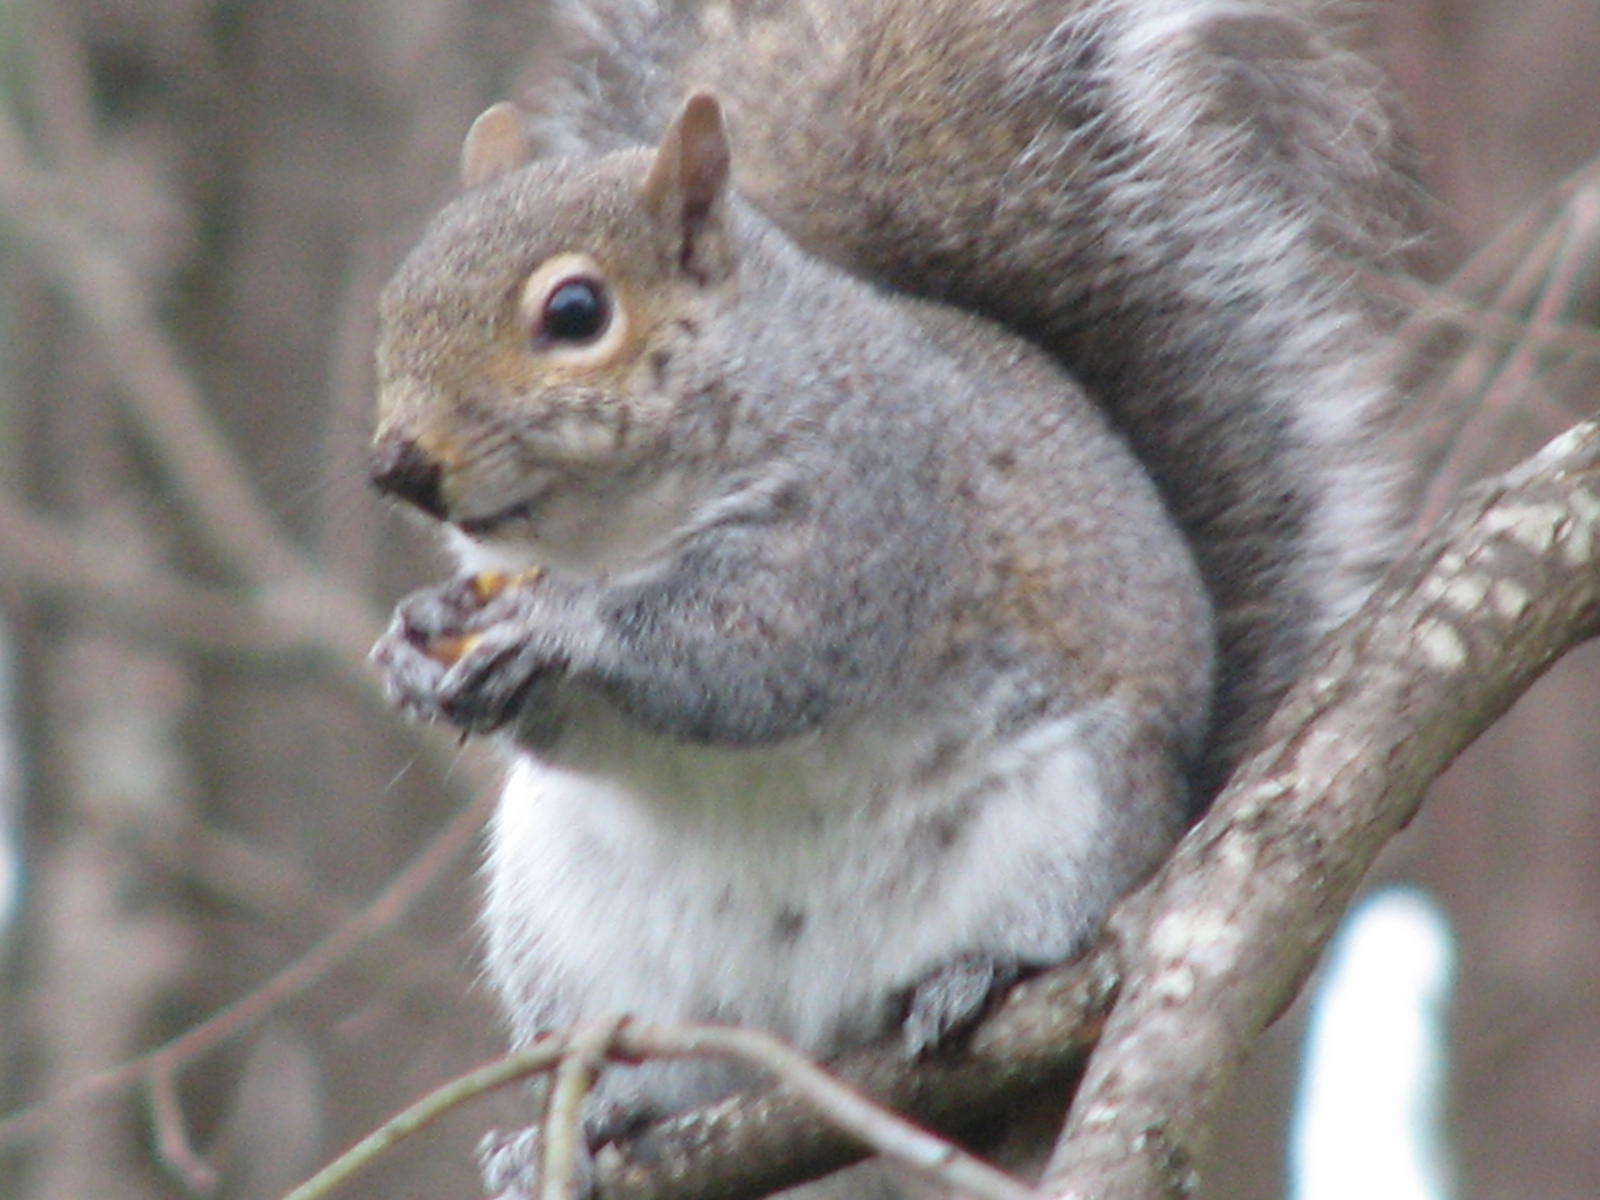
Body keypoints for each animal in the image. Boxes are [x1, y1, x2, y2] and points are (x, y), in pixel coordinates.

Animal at [368, 0, 1408, 1196]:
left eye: (576, 312)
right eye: (396, 303)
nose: (397, 464)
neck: (612, 533)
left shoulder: (877, 507)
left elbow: (758, 649)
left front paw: (563, 627)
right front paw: (413, 646)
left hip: (1071, 818)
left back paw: (979, 976)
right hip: (569, 936)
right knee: (678, 1072)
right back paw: (598, 1118)